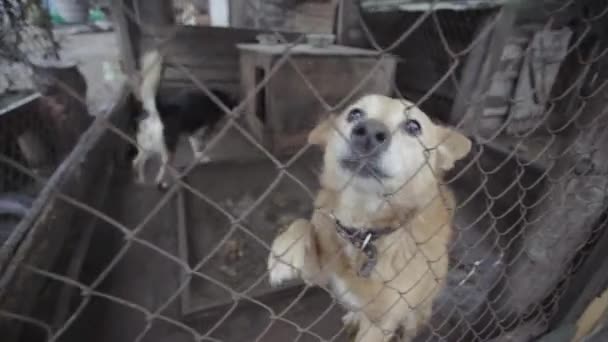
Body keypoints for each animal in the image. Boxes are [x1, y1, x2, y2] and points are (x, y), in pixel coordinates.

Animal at [132, 48, 235, 187]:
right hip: (168, 150)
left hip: (145, 148)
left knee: (136, 162)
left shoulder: (193, 132)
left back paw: (141, 181)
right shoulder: (203, 130)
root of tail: (156, 111)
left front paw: (200, 158)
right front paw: (203, 157)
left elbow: (195, 147)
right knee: (162, 169)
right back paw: (163, 182)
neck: (216, 97)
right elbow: (201, 146)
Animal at [266, 93, 470, 340]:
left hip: (417, 313)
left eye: (413, 127)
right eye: (354, 113)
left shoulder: (381, 323)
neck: (363, 230)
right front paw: (283, 254)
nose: (369, 132)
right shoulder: (319, 274)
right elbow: (301, 223)